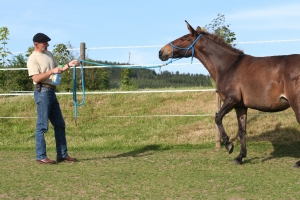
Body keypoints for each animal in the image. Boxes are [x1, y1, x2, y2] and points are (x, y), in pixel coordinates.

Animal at [159, 20, 300, 167]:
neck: (228, 66)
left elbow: (217, 117)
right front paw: (240, 157)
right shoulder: (240, 106)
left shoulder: (231, 99)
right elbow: (242, 130)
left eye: (183, 38)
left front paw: (229, 145)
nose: (161, 52)